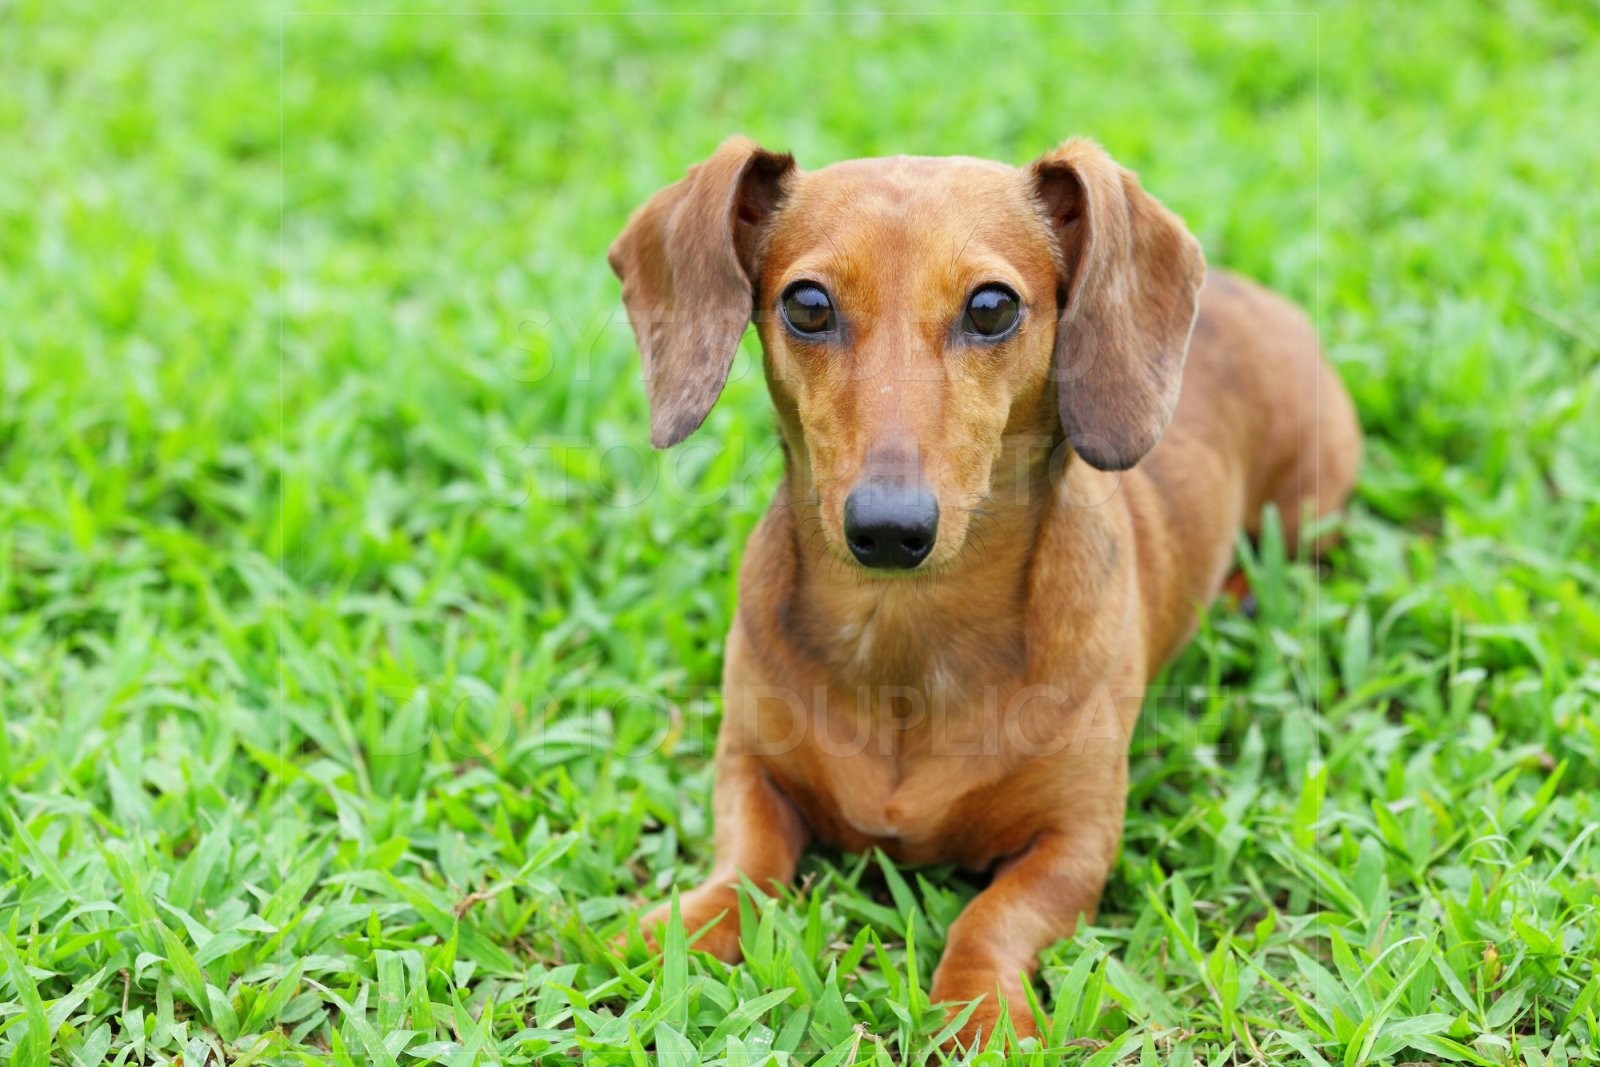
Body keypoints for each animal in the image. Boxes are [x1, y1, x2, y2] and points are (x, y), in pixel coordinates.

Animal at [604, 137, 1356, 1049]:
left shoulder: (1077, 841)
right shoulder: (748, 765)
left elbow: (992, 917)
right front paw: (681, 931)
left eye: (992, 307)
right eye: (808, 305)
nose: (889, 527)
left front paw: (982, 1010)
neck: (904, 634)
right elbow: (746, 866)